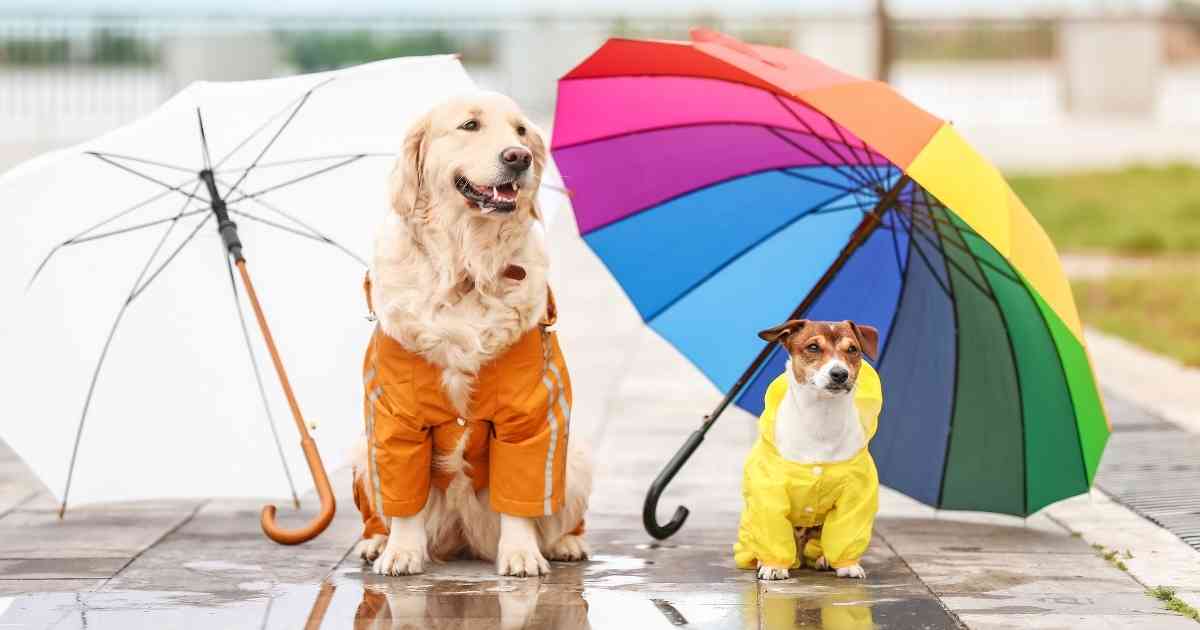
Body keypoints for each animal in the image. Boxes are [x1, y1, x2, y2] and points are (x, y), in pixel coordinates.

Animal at [350, 90, 595, 578]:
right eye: (469, 126)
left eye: (521, 131)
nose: (518, 157)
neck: (465, 268)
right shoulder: (393, 420)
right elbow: (404, 498)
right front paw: (401, 552)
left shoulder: (533, 417)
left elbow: (521, 497)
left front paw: (521, 553)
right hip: (361, 454)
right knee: (378, 511)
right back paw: (375, 542)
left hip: (575, 457)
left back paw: (565, 543)